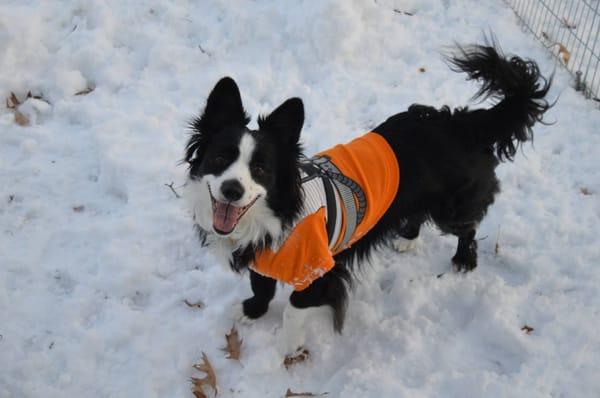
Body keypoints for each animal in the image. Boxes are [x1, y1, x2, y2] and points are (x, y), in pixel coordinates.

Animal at [184, 42, 552, 354]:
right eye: (220, 158)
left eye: (260, 169)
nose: (232, 190)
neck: (272, 215)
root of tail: (464, 123)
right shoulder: (262, 257)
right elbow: (261, 285)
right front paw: (252, 311)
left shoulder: (320, 269)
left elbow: (293, 307)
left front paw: (287, 345)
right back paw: (408, 238)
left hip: (453, 208)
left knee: (468, 227)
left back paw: (464, 259)